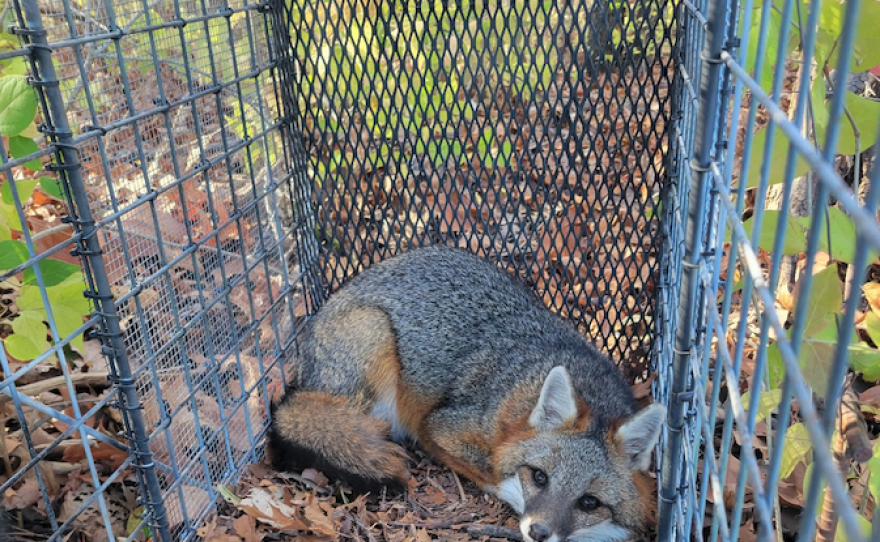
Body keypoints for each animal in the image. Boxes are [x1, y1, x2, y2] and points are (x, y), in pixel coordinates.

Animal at [268, 248, 668, 542]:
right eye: (539, 477)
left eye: (589, 502)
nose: (538, 532)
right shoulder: (440, 427)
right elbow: (491, 471)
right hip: (375, 343)